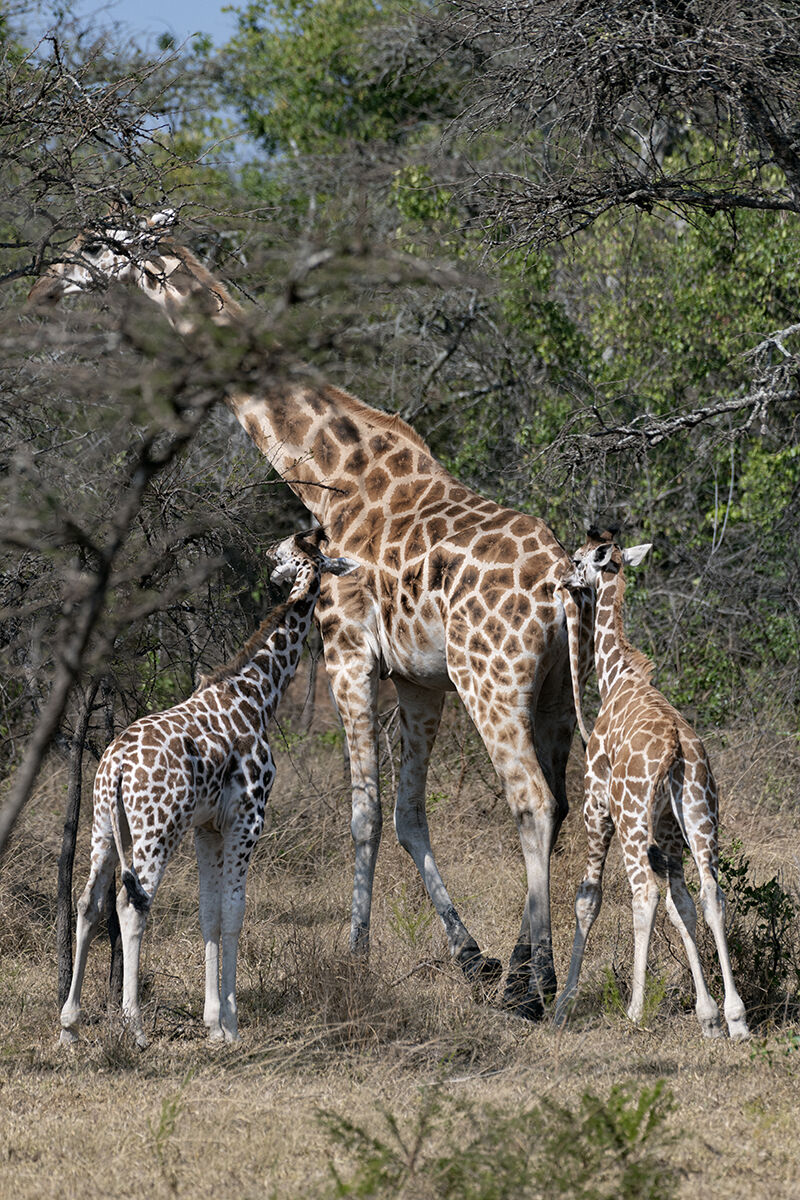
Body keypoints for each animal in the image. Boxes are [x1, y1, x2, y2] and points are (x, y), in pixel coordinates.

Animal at [59, 531, 358, 1048]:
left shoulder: (207, 828)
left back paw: (70, 1025)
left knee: (88, 903)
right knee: (131, 905)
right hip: (156, 830)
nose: (268, 559)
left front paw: (214, 1021)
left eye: (283, 551)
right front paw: (231, 1028)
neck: (258, 693)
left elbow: (209, 914)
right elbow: (234, 912)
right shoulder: (247, 819)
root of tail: (115, 767)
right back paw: (134, 1027)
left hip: (104, 828)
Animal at [553, 529, 749, 1040]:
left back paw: (636, 1010)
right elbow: (685, 906)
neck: (615, 675)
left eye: (578, 559)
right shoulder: (670, 831)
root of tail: (678, 750)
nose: (560, 577)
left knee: (644, 894)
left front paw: (563, 1004)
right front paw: (708, 1015)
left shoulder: (596, 807)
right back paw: (737, 1017)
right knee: (711, 894)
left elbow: (588, 899)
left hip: (631, 817)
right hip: (700, 816)